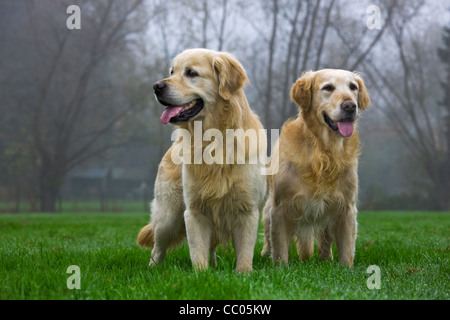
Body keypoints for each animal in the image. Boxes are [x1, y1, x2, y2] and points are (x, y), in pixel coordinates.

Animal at [135, 48, 266, 272]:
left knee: (211, 247)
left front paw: (243, 274)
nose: (156, 86)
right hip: (168, 216)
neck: (212, 140)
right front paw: (201, 274)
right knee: (157, 248)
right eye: (172, 71)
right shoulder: (194, 211)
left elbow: (244, 254)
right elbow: (197, 252)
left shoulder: (247, 210)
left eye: (191, 73)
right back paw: (153, 269)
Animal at [260, 69, 370, 266]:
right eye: (328, 87)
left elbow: (346, 247)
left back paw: (326, 260)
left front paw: (346, 268)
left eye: (353, 87)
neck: (323, 151)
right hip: (267, 212)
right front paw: (280, 268)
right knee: (268, 238)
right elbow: (280, 249)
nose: (350, 106)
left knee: (325, 244)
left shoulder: (346, 207)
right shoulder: (280, 208)